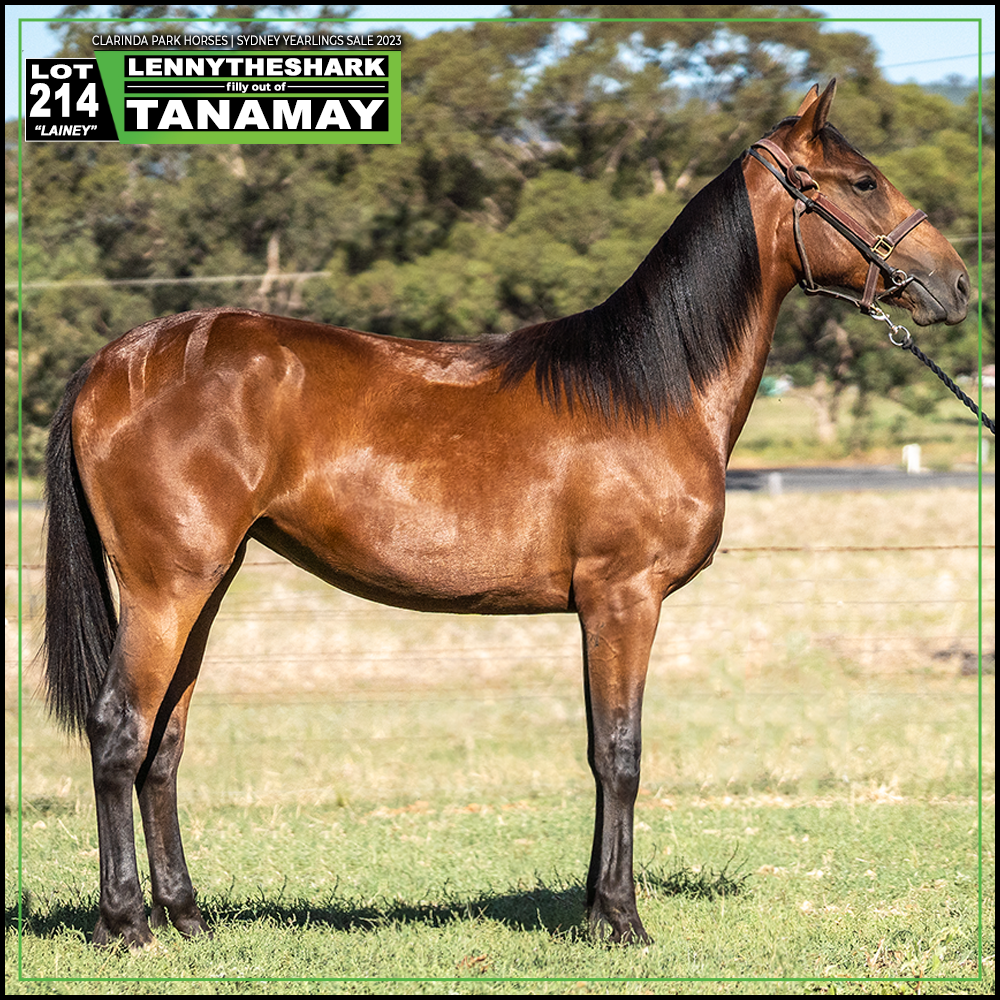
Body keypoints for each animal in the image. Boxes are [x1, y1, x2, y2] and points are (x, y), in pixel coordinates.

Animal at [42, 81, 970, 948]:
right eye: (862, 180)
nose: (956, 284)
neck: (651, 388)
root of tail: (110, 363)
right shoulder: (623, 599)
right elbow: (621, 754)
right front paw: (624, 921)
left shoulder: (597, 610)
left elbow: (598, 752)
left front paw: (595, 911)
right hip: (167, 589)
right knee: (119, 732)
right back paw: (125, 924)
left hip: (205, 587)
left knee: (163, 748)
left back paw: (187, 918)